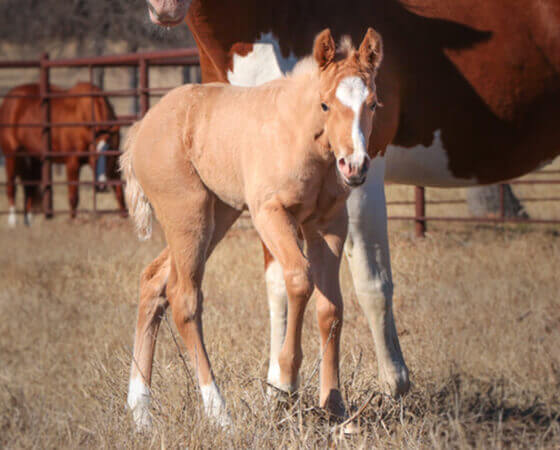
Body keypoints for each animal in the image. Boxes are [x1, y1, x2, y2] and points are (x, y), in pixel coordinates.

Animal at [0, 81, 126, 225]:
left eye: (109, 154)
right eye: (93, 154)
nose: (101, 186)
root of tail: (9, 99)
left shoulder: (113, 165)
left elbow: (120, 193)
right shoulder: (72, 162)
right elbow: (73, 197)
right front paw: (72, 221)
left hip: (34, 158)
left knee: (30, 186)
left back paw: (29, 220)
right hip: (11, 155)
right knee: (11, 186)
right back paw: (12, 221)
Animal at [122, 29, 382, 430]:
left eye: (372, 104)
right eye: (325, 105)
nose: (354, 165)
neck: (300, 135)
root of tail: (142, 127)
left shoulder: (329, 224)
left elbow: (331, 308)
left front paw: (335, 405)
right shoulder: (270, 214)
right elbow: (299, 279)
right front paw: (286, 384)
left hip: (218, 215)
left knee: (153, 282)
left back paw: (140, 412)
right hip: (189, 216)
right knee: (184, 298)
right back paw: (219, 414)